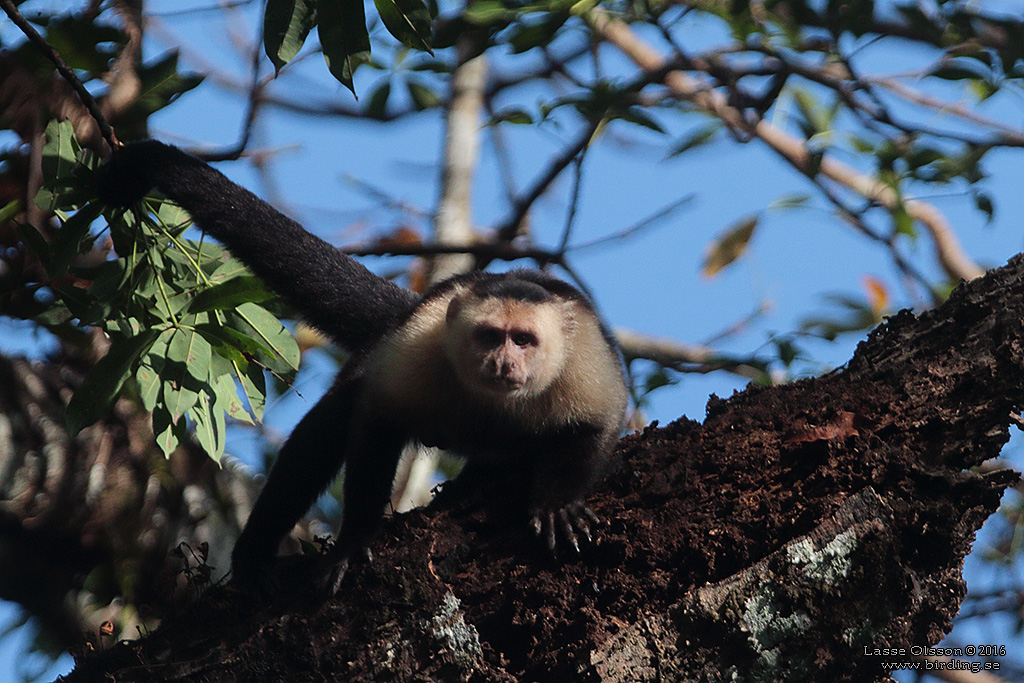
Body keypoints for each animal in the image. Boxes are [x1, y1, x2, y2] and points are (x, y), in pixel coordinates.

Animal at [96, 141, 626, 593]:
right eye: (490, 337)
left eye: (524, 341)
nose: (502, 361)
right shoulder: (421, 348)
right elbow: (376, 416)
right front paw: (353, 542)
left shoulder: (584, 361)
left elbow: (600, 422)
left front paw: (557, 503)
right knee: (332, 420)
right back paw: (254, 556)